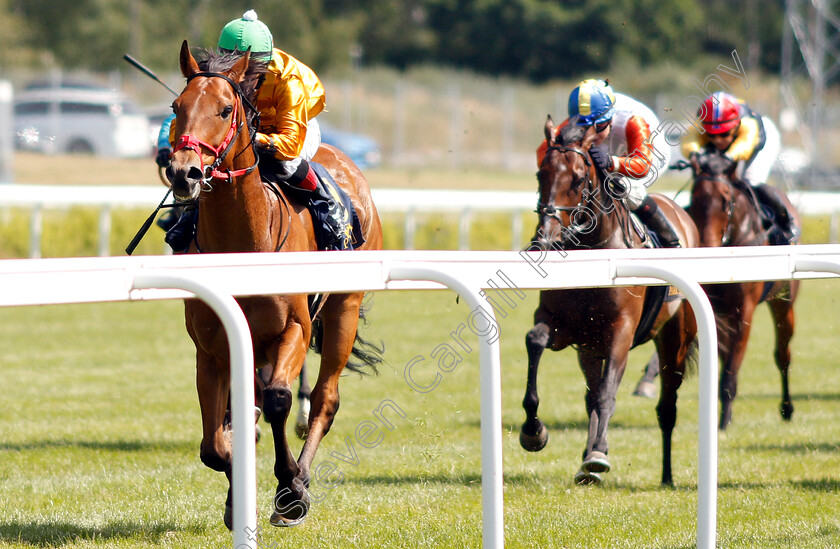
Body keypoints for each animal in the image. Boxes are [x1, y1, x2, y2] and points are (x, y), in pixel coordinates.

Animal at [167, 41, 384, 528]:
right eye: (176, 107)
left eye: (226, 109)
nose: (184, 172)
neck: (245, 245)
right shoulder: (212, 348)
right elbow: (217, 442)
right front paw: (236, 493)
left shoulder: (295, 329)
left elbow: (280, 400)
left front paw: (290, 490)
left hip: (343, 308)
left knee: (324, 399)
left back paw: (300, 476)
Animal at [520, 116, 700, 484]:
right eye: (540, 174)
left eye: (577, 178)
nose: (544, 241)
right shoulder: (563, 327)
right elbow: (535, 341)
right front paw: (533, 432)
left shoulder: (621, 331)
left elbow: (607, 395)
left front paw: (599, 455)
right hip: (590, 347)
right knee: (591, 394)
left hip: (674, 337)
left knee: (667, 406)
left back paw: (666, 475)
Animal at [684, 151, 796, 428]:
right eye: (694, 198)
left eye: (726, 201)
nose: (707, 248)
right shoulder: (714, 309)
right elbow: (722, 359)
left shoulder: (744, 311)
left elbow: (731, 370)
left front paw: (724, 423)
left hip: (784, 301)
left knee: (783, 354)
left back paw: (787, 408)